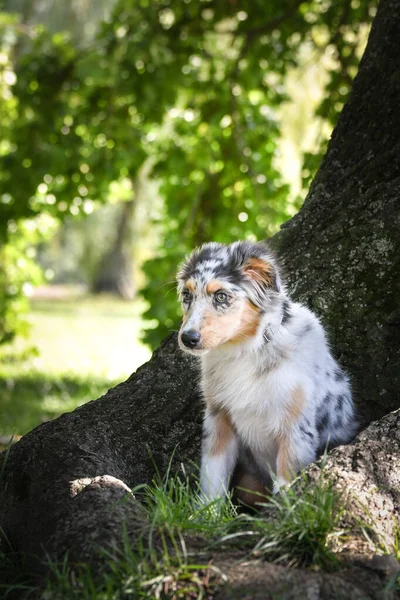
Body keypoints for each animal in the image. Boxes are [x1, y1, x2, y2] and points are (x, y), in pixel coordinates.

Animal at [177, 240, 358, 502]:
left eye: (221, 296)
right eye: (187, 295)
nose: (187, 338)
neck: (245, 350)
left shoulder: (295, 428)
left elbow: (286, 484)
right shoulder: (219, 418)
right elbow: (212, 479)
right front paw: (207, 511)